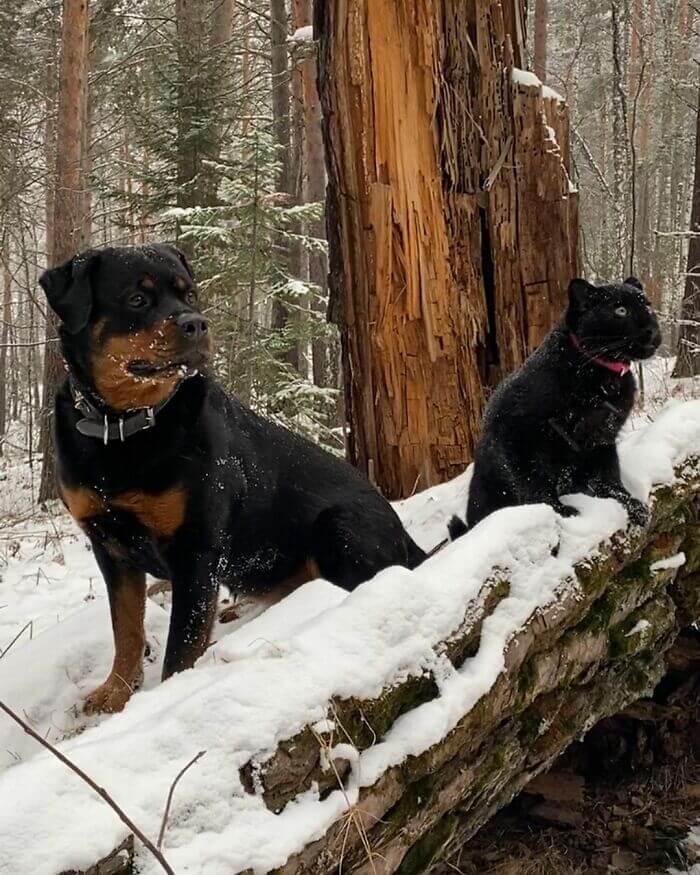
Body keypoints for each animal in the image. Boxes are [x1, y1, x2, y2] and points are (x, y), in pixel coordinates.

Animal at [43, 245, 430, 712]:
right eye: (137, 299)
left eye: (190, 295)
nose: (195, 323)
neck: (122, 430)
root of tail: (405, 534)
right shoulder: (110, 549)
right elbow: (127, 630)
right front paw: (115, 692)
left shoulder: (196, 550)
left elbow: (180, 649)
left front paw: (164, 699)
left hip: (339, 526)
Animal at [452, 276, 660, 532]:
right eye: (620, 310)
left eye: (647, 305)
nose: (652, 330)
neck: (599, 375)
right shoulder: (516, 435)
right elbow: (534, 485)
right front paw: (562, 512)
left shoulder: (602, 439)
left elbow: (609, 478)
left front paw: (631, 504)